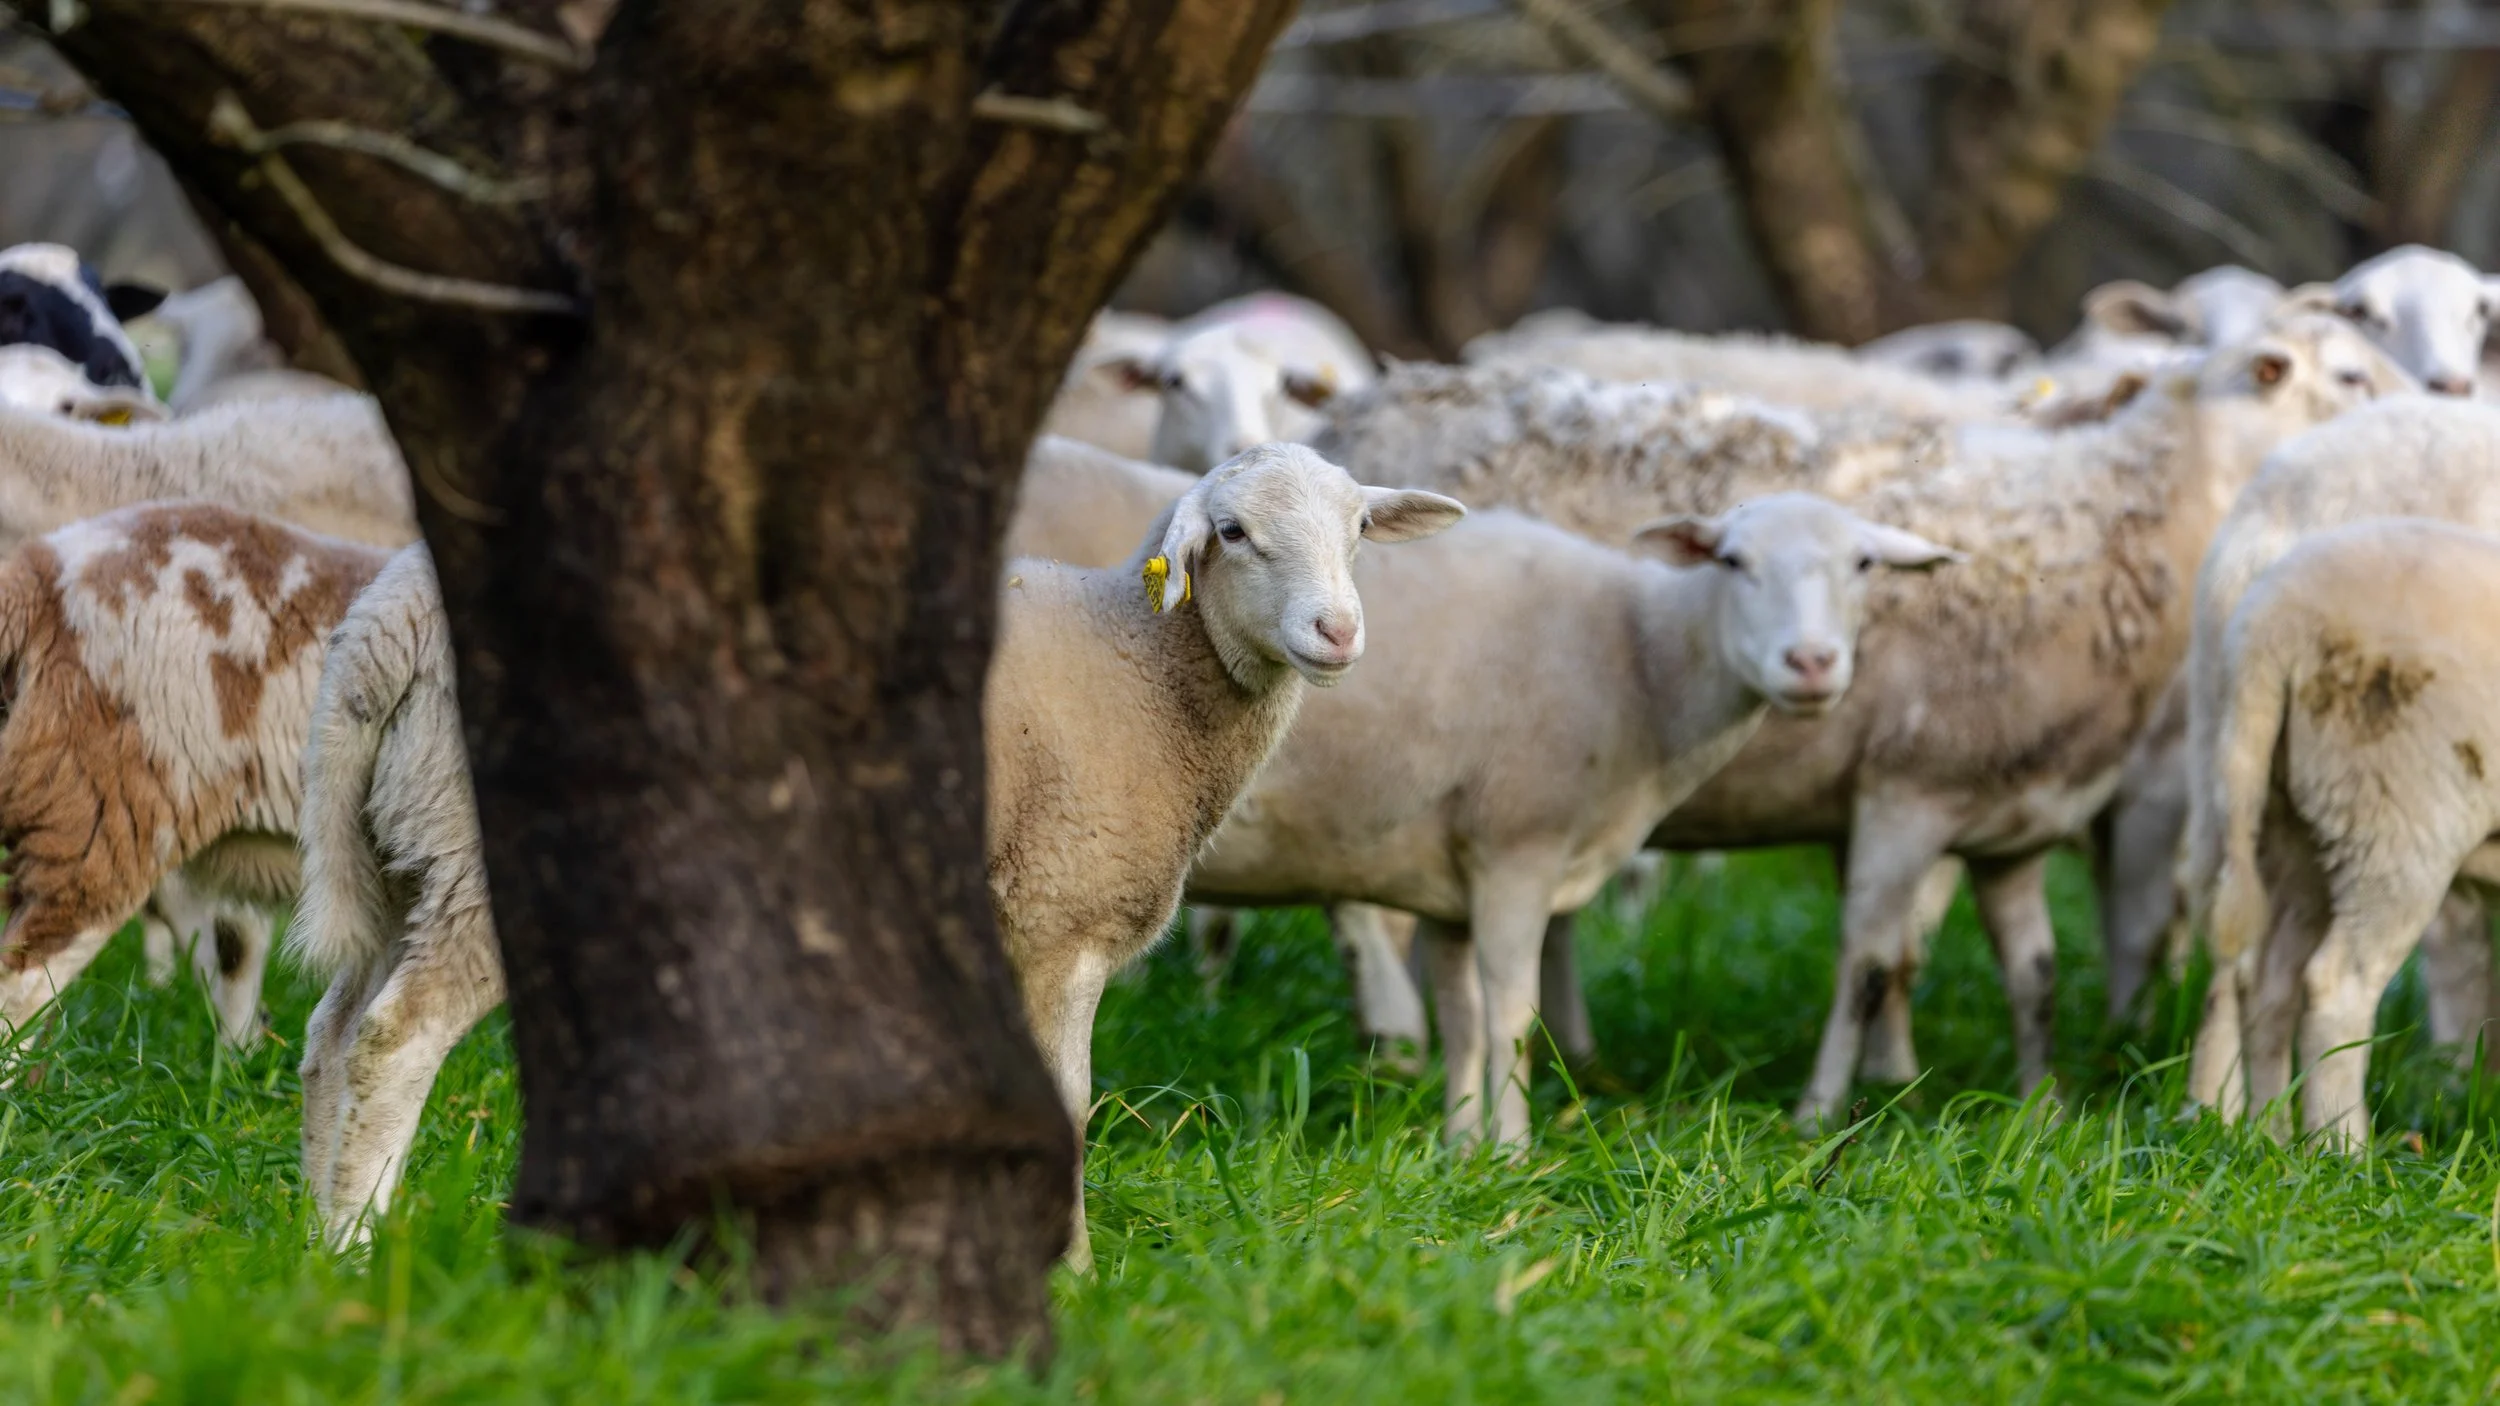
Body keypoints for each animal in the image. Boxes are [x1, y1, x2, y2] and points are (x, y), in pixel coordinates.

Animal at [991, 443, 1463, 1265]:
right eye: (1234, 532)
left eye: (1360, 527)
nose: (1337, 631)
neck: (1132, 663)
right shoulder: (1059, 920)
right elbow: (1066, 1106)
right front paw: (1073, 1269)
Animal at [1186, 494, 1961, 1147]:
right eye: (1734, 561)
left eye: (1863, 564)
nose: (1811, 663)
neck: (1638, 664)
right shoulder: (1518, 847)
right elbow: (1511, 1015)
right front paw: (1511, 1154)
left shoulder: (1444, 876)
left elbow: (1464, 1017)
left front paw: (1461, 1148)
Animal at [1335, 314, 2409, 1126]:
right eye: (2336, 373)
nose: (2427, 403)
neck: (2110, 530)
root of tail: (1373, 404)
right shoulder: (1906, 792)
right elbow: (1866, 960)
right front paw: (1826, 1109)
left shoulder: (2011, 814)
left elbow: (2032, 971)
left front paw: (2038, 1107)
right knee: (1368, 908)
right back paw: (1396, 1048)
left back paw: (1570, 1057)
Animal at [2175, 395, 2500, 1110]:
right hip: (2399, 814)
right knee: (2336, 984)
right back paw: (2336, 1136)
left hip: (2260, 786)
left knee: (2248, 957)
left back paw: (2238, 1125)